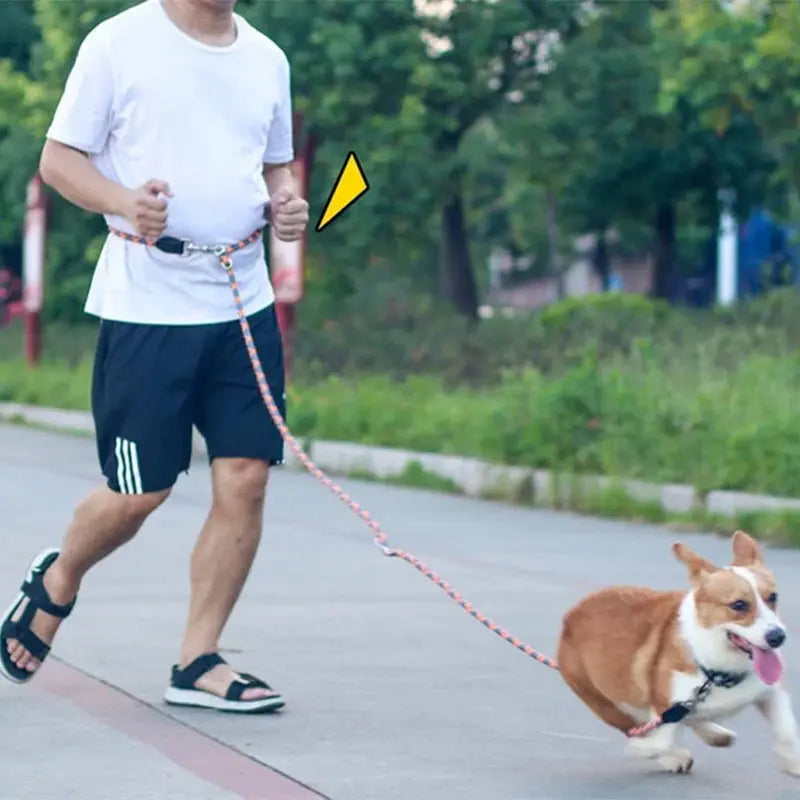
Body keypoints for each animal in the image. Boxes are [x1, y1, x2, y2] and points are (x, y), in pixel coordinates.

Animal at [556, 532, 800, 776]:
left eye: (773, 597)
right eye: (739, 605)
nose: (778, 636)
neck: (718, 672)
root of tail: (570, 615)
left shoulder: (771, 693)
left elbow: (787, 731)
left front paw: (793, 763)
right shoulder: (665, 709)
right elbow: (659, 742)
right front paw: (649, 750)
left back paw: (716, 734)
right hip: (608, 704)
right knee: (636, 727)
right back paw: (675, 755)